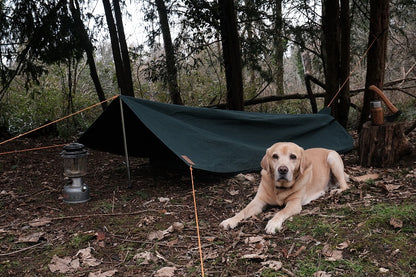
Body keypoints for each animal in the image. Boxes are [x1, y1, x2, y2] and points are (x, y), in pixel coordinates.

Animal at [219, 140, 350, 233]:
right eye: (275, 156)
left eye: (293, 156)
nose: (282, 169)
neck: (280, 188)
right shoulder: (258, 201)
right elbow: (243, 211)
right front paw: (230, 220)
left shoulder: (294, 204)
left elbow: (281, 212)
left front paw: (273, 223)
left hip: (332, 158)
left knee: (346, 185)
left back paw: (337, 191)